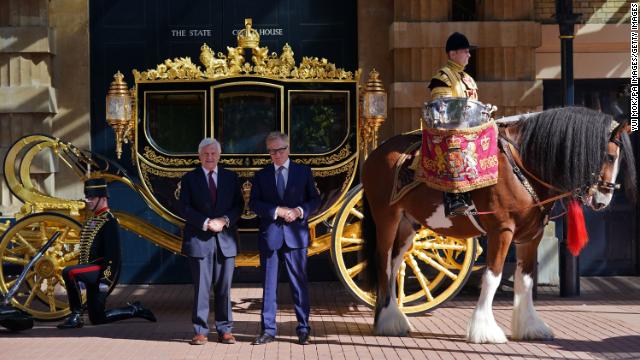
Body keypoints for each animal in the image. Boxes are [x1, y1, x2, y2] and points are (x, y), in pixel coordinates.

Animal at [360, 106, 636, 344]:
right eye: (610, 156)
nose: (602, 200)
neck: (521, 165)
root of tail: (375, 153)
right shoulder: (501, 231)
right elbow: (492, 276)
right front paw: (484, 330)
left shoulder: (530, 237)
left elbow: (525, 280)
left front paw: (530, 326)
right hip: (387, 219)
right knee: (383, 262)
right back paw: (387, 321)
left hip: (407, 225)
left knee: (394, 265)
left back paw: (391, 317)